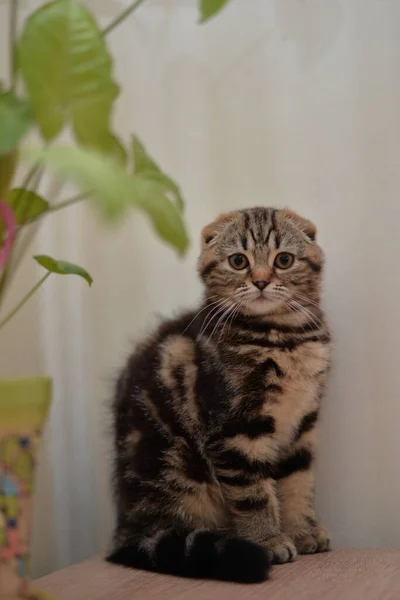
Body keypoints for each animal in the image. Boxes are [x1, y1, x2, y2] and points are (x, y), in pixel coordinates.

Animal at [107, 209, 332, 584]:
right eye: (238, 261)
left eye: (283, 260)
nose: (261, 281)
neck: (282, 337)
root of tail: (128, 527)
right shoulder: (235, 429)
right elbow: (253, 493)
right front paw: (268, 541)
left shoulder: (304, 424)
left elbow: (298, 483)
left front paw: (303, 532)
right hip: (178, 477)